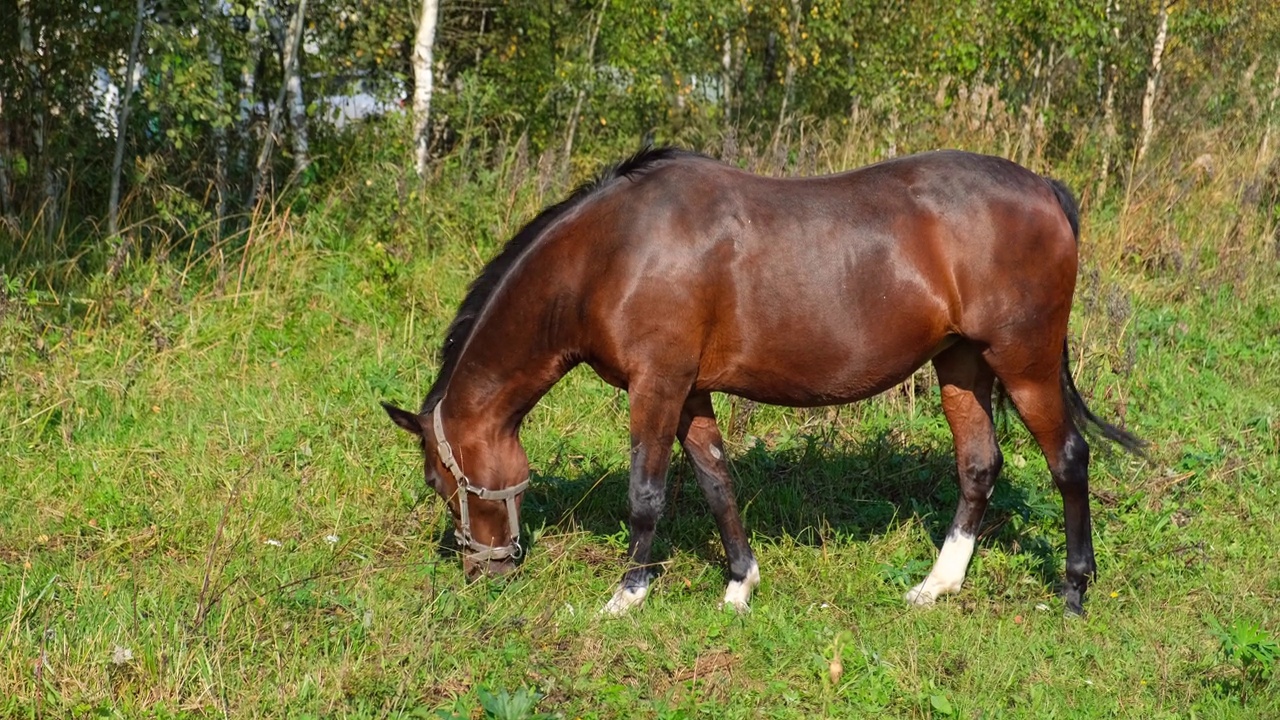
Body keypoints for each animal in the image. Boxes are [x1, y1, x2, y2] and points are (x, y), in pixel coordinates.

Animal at [378, 147, 1141, 617]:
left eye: (437, 481)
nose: (486, 573)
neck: (611, 253)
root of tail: (1046, 190)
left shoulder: (656, 384)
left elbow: (646, 494)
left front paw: (626, 596)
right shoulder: (689, 390)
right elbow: (717, 483)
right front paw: (740, 583)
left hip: (1024, 361)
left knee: (1069, 459)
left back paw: (1075, 590)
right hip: (960, 363)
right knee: (979, 464)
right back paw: (936, 586)